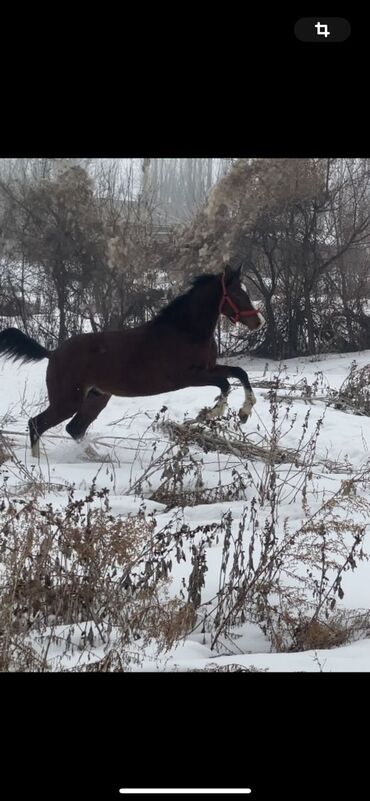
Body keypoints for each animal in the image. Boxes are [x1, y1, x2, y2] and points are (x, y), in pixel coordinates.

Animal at [0, 264, 262, 456]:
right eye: (237, 294)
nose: (257, 322)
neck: (185, 331)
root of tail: (53, 353)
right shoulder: (189, 376)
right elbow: (224, 383)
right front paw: (210, 414)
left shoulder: (210, 367)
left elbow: (239, 373)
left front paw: (244, 412)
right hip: (68, 400)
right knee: (37, 424)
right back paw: (38, 465)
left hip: (96, 398)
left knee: (74, 428)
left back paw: (96, 457)